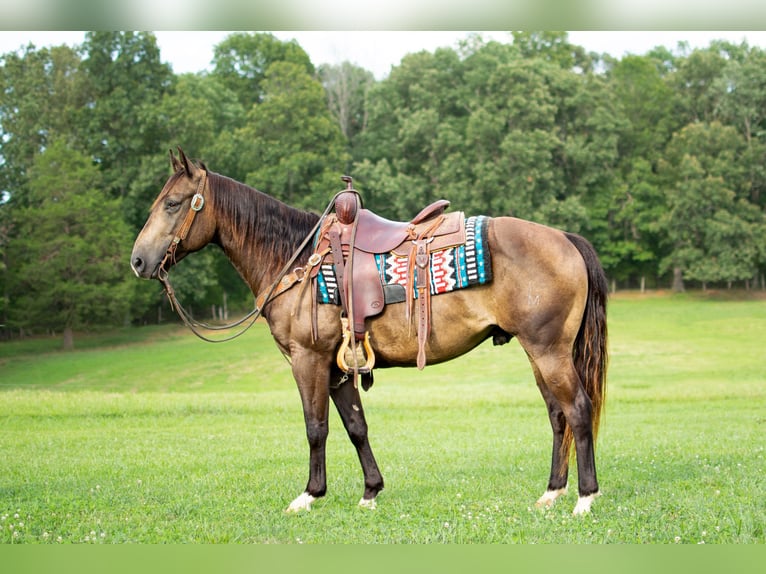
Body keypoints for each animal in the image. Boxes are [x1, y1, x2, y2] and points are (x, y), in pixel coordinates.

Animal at [132, 148, 612, 516]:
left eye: (173, 203)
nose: (139, 261)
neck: (295, 259)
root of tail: (565, 238)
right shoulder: (337, 367)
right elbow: (355, 426)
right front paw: (370, 491)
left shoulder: (308, 359)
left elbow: (316, 427)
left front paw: (309, 495)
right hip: (539, 353)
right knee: (557, 415)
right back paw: (552, 492)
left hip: (549, 351)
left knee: (578, 410)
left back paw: (585, 498)